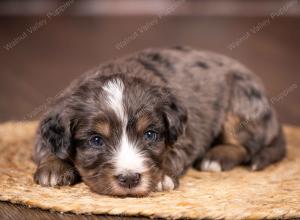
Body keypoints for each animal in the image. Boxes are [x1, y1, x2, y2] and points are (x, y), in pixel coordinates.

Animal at [32, 46, 286, 196]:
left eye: (150, 135)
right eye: (96, 140)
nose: (130, 179)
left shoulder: (186, 134)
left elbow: (172, 152)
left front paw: (162, 176)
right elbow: (46, 147)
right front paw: (54, 167)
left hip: (241, 100)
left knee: (244, 146)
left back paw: (217, 157)